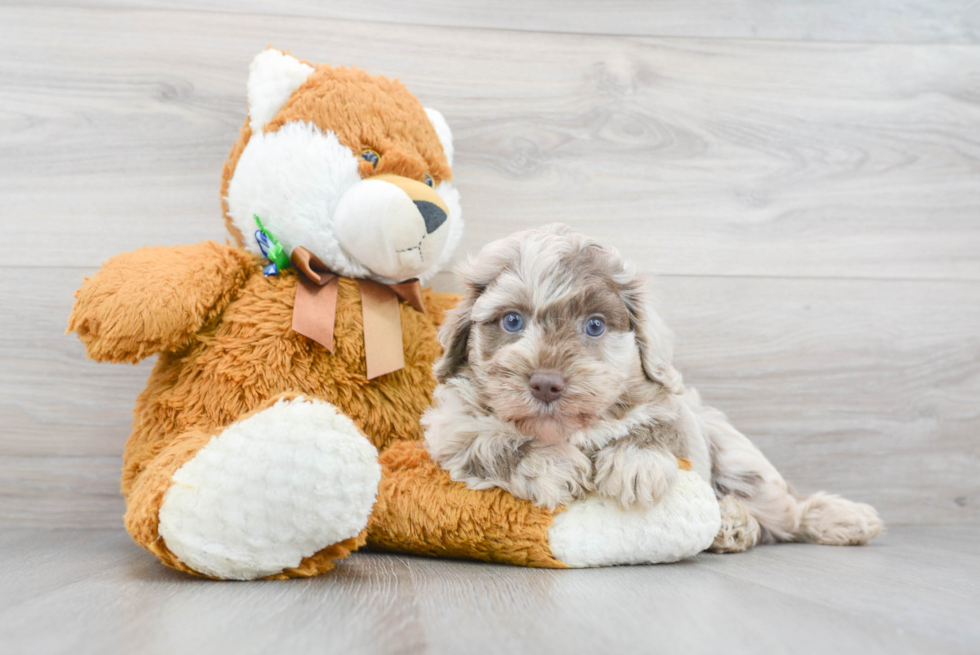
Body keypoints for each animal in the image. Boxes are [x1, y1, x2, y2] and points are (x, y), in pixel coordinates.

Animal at [424, 223, 884, 552]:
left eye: (595, 326)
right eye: (512, 321)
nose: (546, 384)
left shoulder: (678, 411)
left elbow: (656, 426)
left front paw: (635, 464)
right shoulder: (451, 426)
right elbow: (493, 438)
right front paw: (550, 462)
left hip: (738, 457)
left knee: (787, 510)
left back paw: (835, 519)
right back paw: (735, 526)